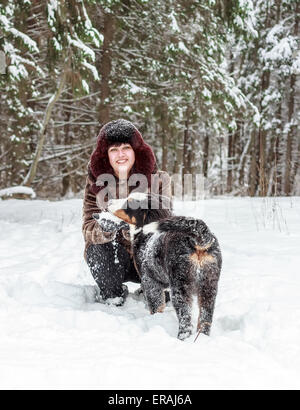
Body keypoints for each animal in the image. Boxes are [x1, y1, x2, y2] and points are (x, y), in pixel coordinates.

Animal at [97, 194, 221, 342]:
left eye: (130, 202)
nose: (109, 201)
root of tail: (197, 239)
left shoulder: (150, 282)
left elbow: (155, 307)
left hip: (180, 288)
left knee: (185, 321)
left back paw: (181, 339)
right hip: (209, 288)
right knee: (205, 320)